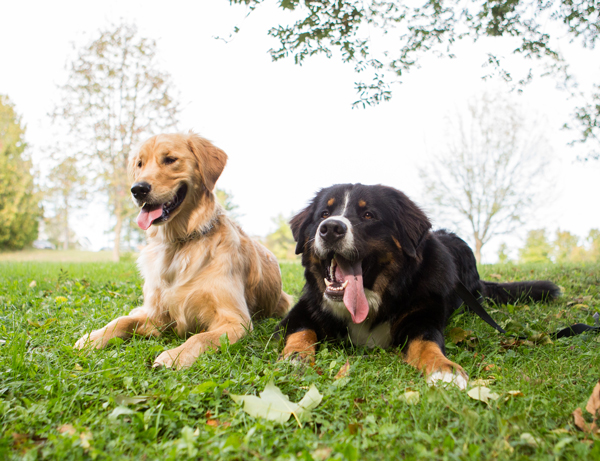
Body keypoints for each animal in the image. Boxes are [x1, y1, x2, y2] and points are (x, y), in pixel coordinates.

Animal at [74, 132, 290, 366]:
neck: (180, 243)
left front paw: (173, 356)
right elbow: (121, 321)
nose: (138, 189)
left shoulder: (236, 320)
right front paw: (92, 338)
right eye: (140, 164)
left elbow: (201, 337)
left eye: (170, 159)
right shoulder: (155, 315)